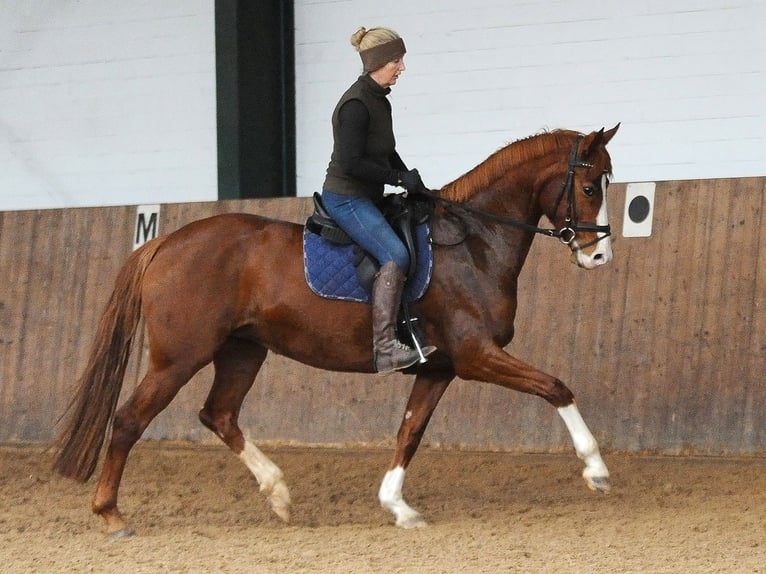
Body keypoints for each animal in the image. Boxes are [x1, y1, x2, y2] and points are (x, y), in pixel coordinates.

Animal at [54, 126, 620, 540]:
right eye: (590, 187)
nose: (600, 257)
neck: (473, 242)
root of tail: (166, 242)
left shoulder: (439, 367)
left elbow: (410, 432)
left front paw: (397, 507)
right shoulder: (475, 354)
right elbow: (556, 387)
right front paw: (596, 469)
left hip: (243, 351)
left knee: (219, 414)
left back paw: (279, 494)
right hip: (179, 357)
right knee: (130, 420)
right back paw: (112, 515)